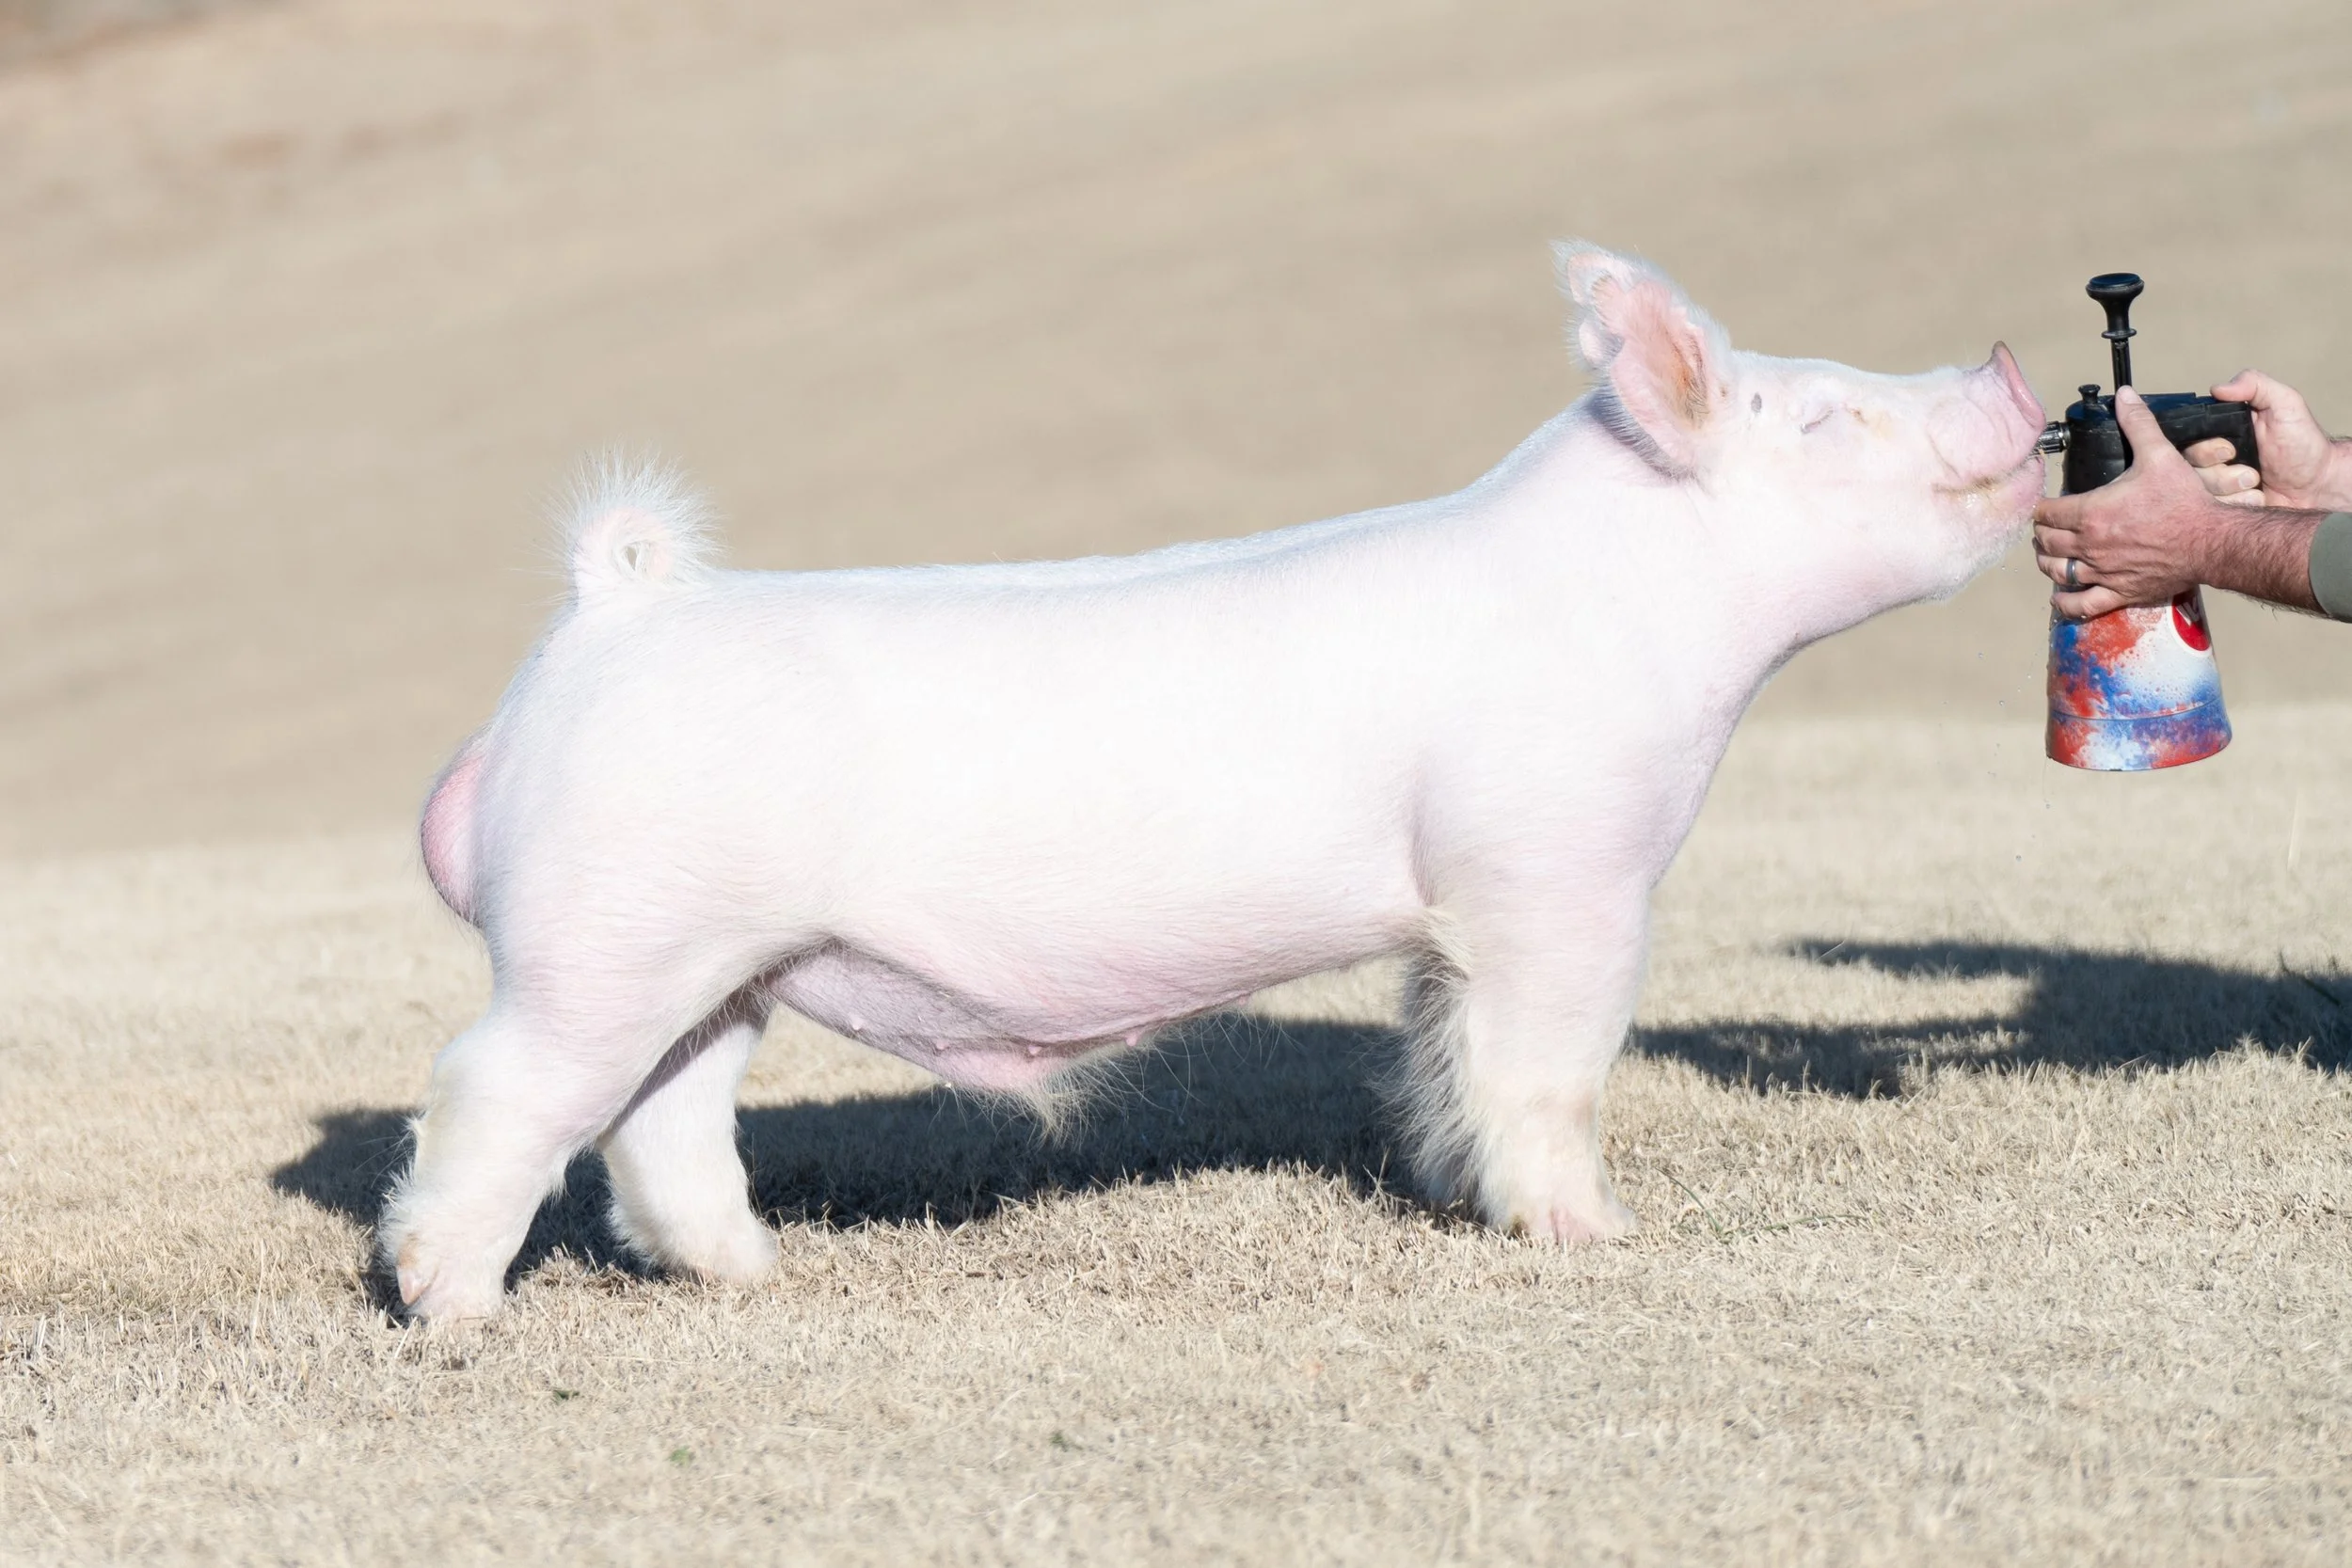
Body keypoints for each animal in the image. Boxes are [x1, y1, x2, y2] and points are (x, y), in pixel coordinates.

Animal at [383, 244, 2047, 1320]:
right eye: (1826, 412)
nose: (2010, 360)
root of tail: (614, 608)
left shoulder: (1452, 912)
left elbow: (1442, 1054)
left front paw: (1449, 1191)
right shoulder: (1560, 871)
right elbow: (1550, 1064)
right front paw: (1593, 1235)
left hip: (716, 958)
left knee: (661, 1119)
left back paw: (754, 1275)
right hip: (602, 933)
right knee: (495, 1087)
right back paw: (450, 1306)